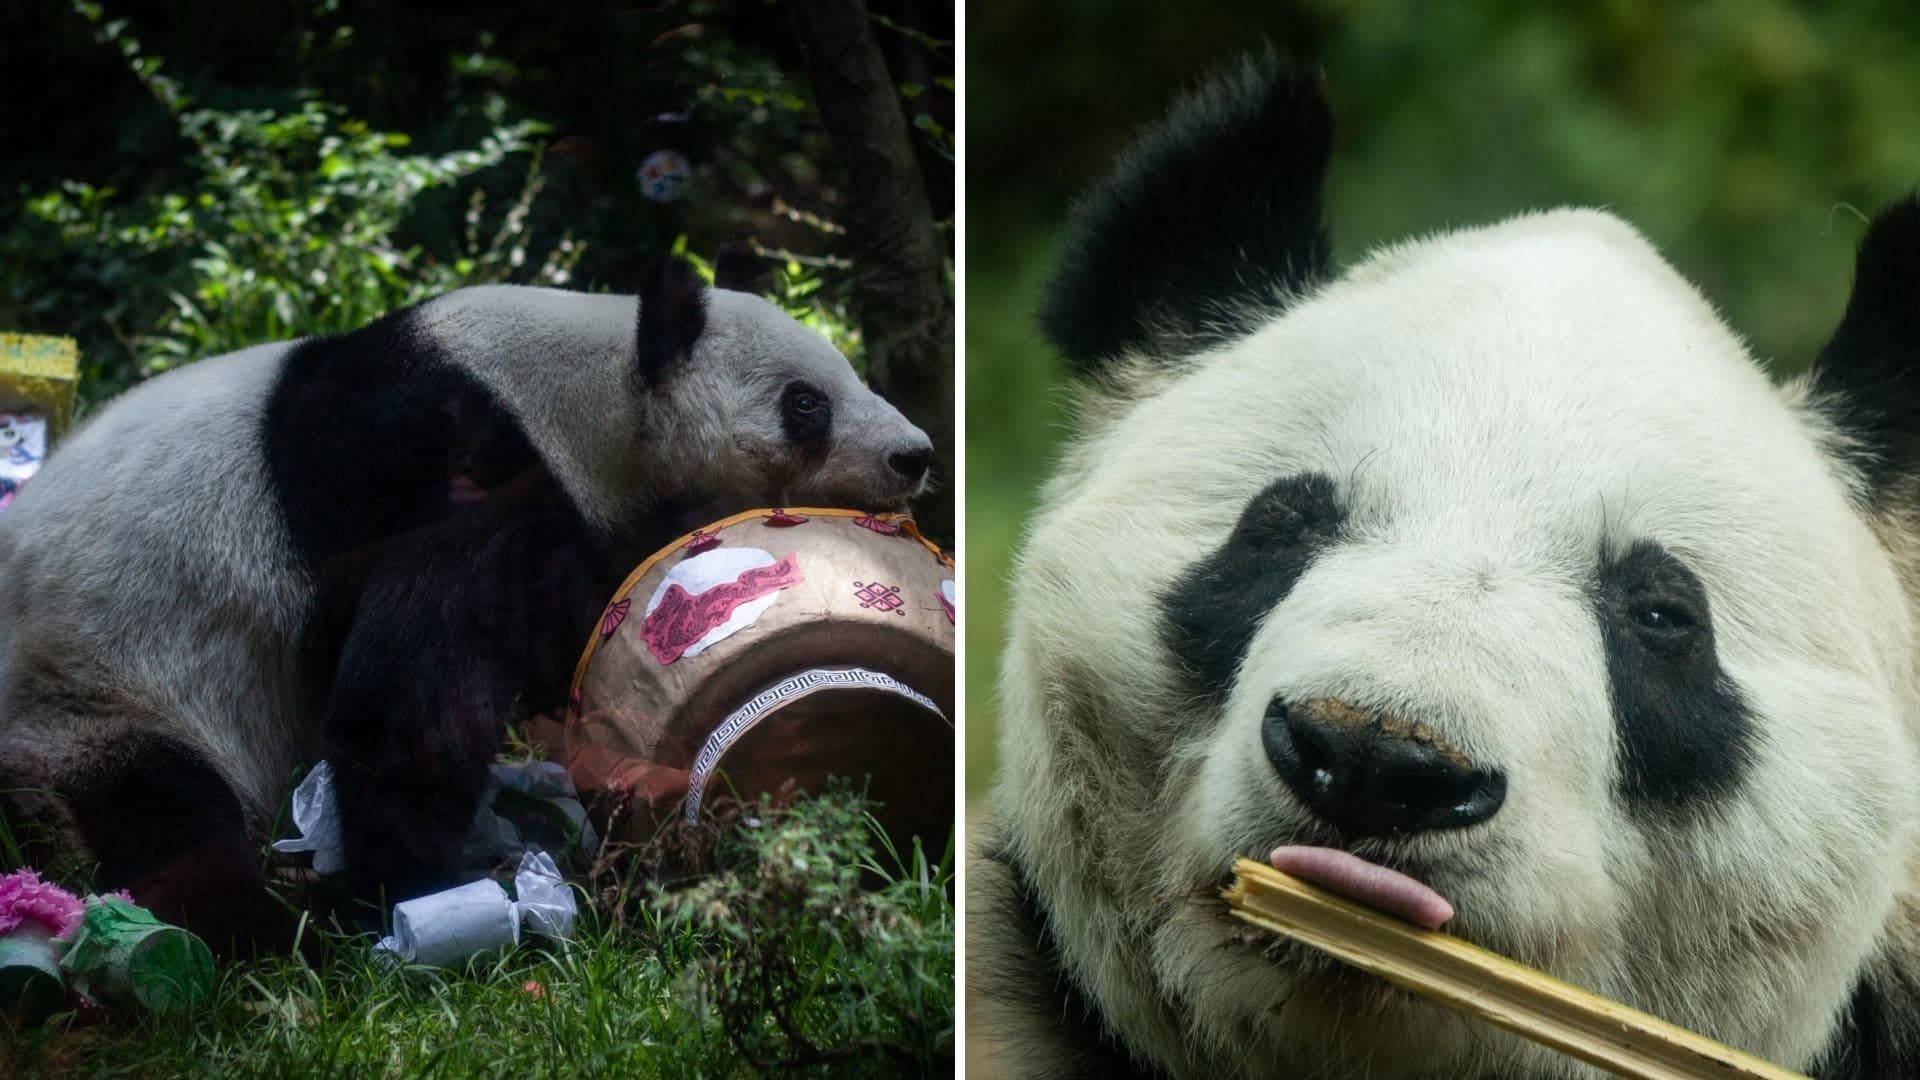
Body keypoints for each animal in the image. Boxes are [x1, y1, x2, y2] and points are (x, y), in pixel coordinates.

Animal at [0, 256, 934, 955]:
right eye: (806, 403)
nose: (915, 454)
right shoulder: (435, 456)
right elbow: (420, 686)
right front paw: (415, 880)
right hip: (95, 687)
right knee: (168, 814)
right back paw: (263, 934)